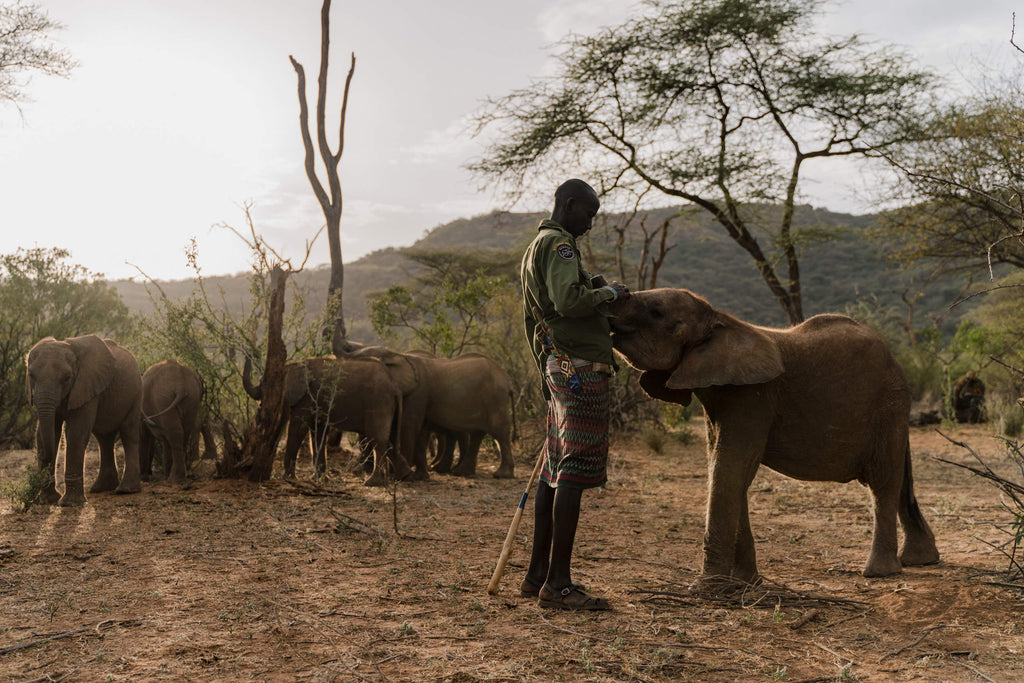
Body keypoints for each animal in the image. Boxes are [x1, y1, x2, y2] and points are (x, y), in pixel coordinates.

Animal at [25, 333, 144, 505]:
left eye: (67, 378)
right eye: (31, 376)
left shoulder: (86, 386)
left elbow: (76, 433)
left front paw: (69, 503)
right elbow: (46, 433)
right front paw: (48, 500)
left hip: (136, 392)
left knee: (128, 433)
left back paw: (126, 490)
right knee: (104, 438)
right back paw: (101, 488)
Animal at [243, 352, 407, 485]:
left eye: (264, 385)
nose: (249, 355)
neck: (295, 365)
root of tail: (394, 385)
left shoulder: (306, 399)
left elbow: (298, 429)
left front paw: (289, 478)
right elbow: (318, 433)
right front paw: (319, 479)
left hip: (378, 401)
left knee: (377, 439)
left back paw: (372, 482)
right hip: (388, 404)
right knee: (391, 440)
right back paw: (402, 477)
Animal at [339, 350, 516, 479]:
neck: (395, 354)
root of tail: (507, 379)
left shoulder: (417, 393)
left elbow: (408, 428)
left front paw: (402, 475)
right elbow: (419, 432)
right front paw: (417, 476)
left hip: (495, 399)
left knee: (499, 433)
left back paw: (501, 475)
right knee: (478, 434)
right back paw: (460, 472)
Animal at [602, 288, 937, 593]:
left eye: (656, 312)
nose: (609, 290)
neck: (720, 321)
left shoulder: (754, 395)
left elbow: (730, 467)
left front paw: (706, 589)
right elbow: (725, 467)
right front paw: (745, 583)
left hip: (888, 406)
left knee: (883, 482)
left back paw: (880, 573)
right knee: (899, 480)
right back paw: (921, 560)